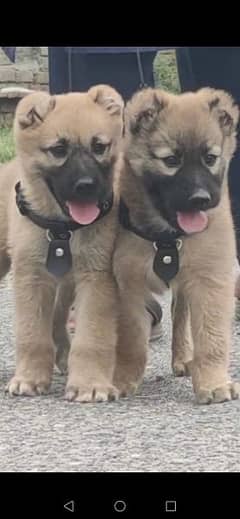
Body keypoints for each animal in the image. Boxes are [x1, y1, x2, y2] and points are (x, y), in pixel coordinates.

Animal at [0, 84, 124, 402]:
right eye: (58, 150)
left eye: (99, 146)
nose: (86, 186)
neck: (62, 231)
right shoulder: (31, 276)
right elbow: (31, 333)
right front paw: (30, 377)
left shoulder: (96, 277)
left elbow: (91, 335)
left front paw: (89, 383)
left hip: (67, 283)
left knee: (58, 317)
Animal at [113, 87, 240, 404]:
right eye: (171, 160)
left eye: (210, 158)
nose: (200, 199)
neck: (168, 236)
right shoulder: (128, 285)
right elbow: (130, 339)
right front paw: (124, 378)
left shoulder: (210, 280)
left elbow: (211, 338)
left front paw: (213, 383)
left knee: (180, 314)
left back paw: (183, 358)